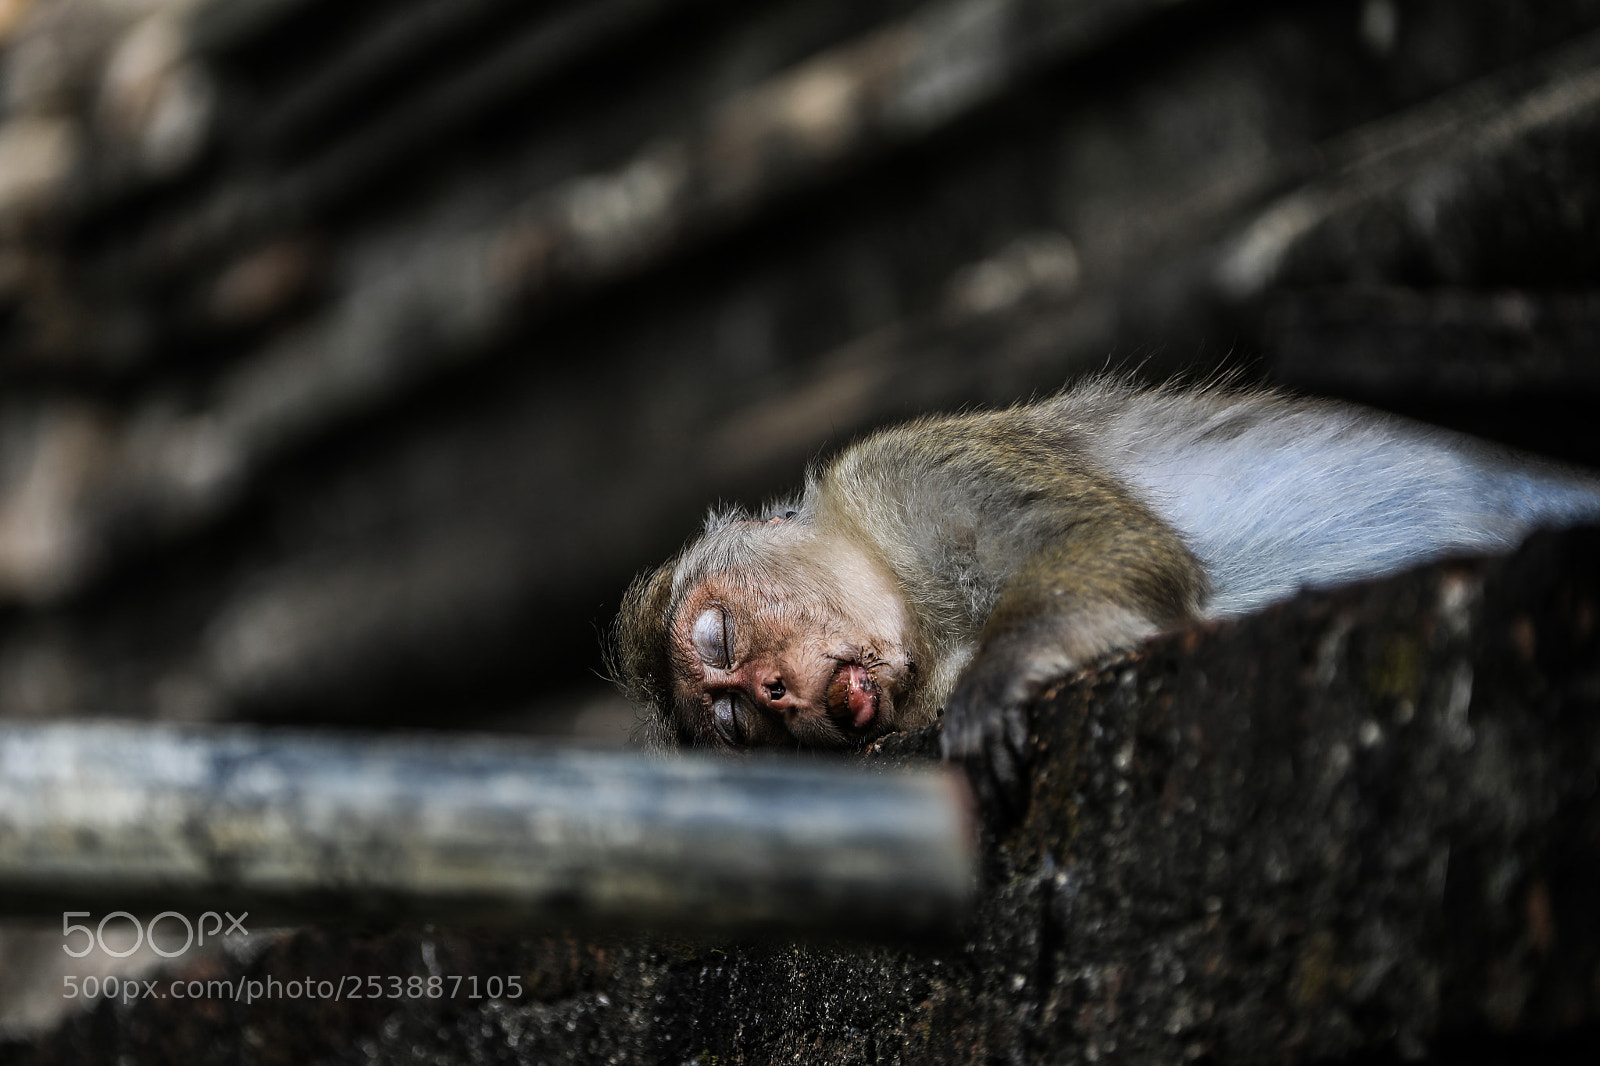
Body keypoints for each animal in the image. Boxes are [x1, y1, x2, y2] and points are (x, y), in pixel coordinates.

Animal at [610, 377, 1600, 802]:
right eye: (738, 720)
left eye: (721, 640)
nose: (776, 692)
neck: (929, 625)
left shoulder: (904, 473)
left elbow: (1105, 541)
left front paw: (1003, 672)